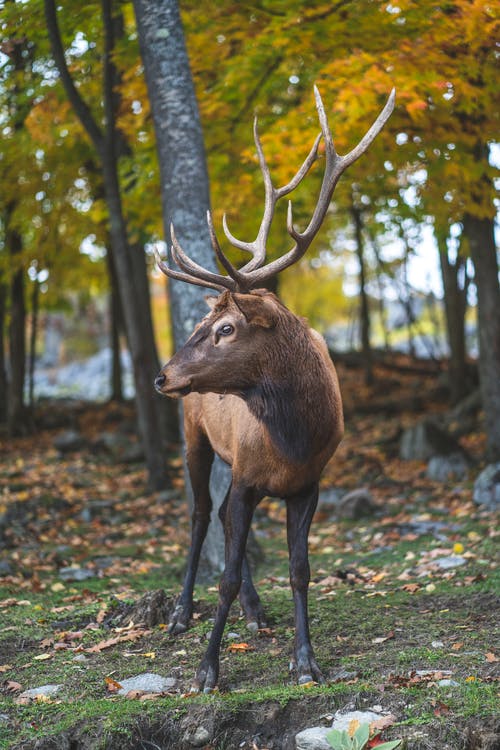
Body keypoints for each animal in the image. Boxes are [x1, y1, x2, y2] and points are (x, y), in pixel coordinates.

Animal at [154, 86, 396, 692]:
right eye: (208, 323)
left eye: (225, 328)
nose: (163, 374)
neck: (293, 438)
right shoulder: (245, 476)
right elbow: (225, 572)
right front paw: (208, 670)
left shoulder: (309, 484)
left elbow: (300, 569)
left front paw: (305, 660)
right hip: (194, 435)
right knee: (200, 516)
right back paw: (180, 614)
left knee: (217, 518)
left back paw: (256, 612)